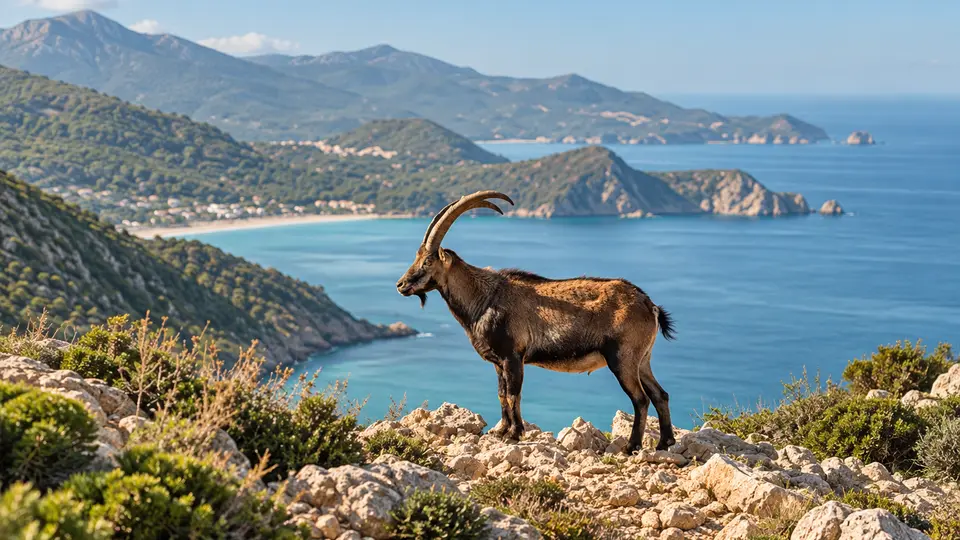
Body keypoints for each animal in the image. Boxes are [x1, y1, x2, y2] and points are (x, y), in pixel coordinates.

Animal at [396, 190, 676, 453]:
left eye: (428, 260)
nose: (401, 284)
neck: (484, 299)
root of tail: (650, 305)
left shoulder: (513, 356)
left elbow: (513, 394)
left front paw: (515, 433)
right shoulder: (498, 363)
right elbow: (501, 395)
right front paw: (501, 431)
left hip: (622, 358)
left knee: (640, 399)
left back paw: (632, 446)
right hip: (642, 359)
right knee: (660, 394)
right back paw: (664, 443)